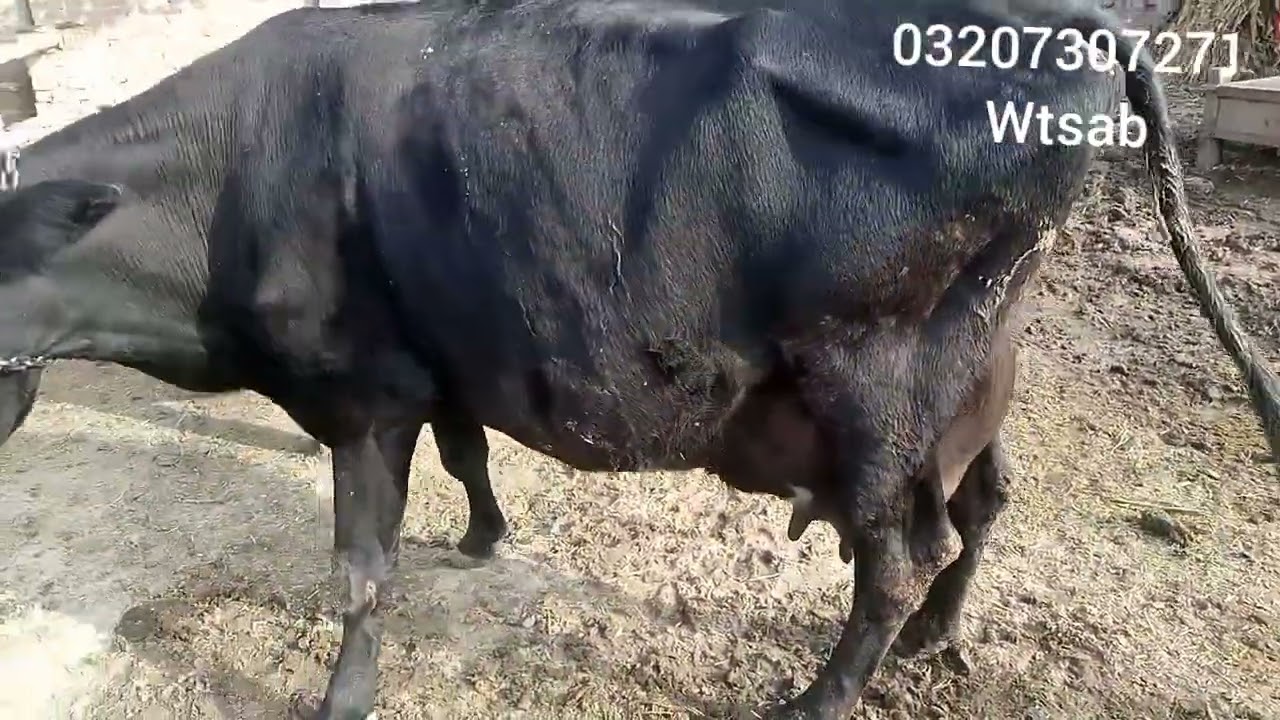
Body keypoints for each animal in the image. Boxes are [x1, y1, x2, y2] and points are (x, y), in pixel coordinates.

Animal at [1, 0, 1277, 718]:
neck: (220, 188)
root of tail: (1068, 17)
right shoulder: (436, 359)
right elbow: (467, 455)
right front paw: (484, 536)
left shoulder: (358, 393)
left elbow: (359, 572)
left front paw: (342, 698)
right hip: (971, 374)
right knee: (980, 505)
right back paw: (938, 640)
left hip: (874, 385)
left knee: (899, 555)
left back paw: (819, 698)